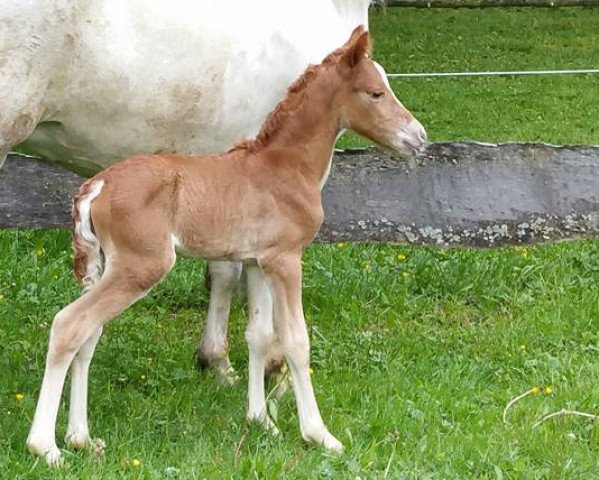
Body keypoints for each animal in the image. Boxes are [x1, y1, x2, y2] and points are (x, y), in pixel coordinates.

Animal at [27, 27, 426, 464]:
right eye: (375, 93)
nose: (419, 137)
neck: (284, 167)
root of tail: (97, 186)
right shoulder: (286, 260)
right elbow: (296, 340)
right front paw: (320, 435)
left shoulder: (256, 262)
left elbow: (259, 335)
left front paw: (261, 421)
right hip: (142, 265)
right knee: (70, 324)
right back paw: (46, 447)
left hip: (104, 267)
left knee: (88, 335)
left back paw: (81, 438)